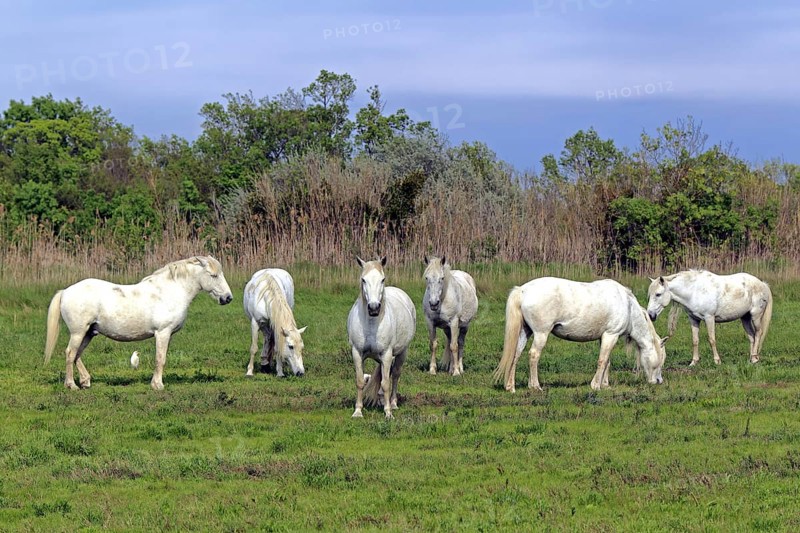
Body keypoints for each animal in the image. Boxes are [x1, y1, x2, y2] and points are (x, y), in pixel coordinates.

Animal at [44, 256, 233, 391]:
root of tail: (66, 291)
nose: (228, 298)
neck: (170, 291)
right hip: (78, 332)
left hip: (89, 333)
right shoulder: (162, 333)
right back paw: (71, 385)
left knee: (77, 355)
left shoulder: (168, 335)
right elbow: (160, 358)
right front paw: (158, 385)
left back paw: (85, 381)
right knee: (70, 353)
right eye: (213, 275)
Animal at [347, 256, 416, 418]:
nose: (374, 308)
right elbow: (360, 381)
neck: (372, 324)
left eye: (382, 279)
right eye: (363, 279)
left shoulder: (386, 354)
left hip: (402, 353)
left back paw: (393, 403)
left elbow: (386, 384)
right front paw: (358, 411)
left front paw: (388, 413)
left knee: (395, 375)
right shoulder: (357, 353)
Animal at [493, 277, 667, 392]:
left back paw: (510, 387)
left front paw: (605, 385)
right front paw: (596, 385)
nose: (658, 381)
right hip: (541, 333)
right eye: (661, 360)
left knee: (515, 355)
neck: (628, 305)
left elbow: (607, 362)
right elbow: (602, 360)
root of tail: (522, 290)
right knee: (534, 355)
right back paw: (535, 386)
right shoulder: (611, 336)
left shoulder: (605, 337)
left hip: (525, 332)